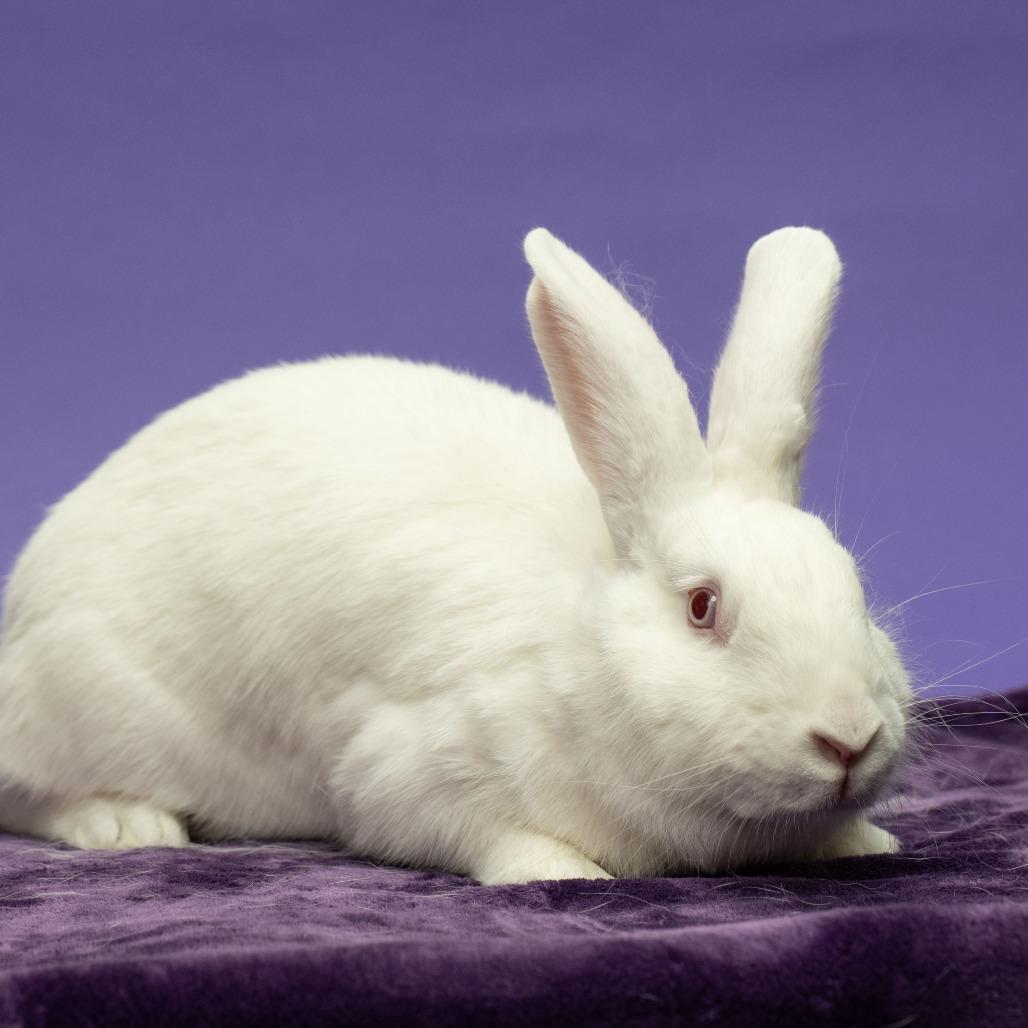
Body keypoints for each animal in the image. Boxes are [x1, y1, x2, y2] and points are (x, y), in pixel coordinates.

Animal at [0, 226, 911, 884]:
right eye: (702, 606)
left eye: (855, 588)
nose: (848, 738)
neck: (580, 650)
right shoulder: (408, 771)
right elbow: (480, 831)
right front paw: (565, 872)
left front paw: (868, 843)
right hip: (78, 699)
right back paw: (125, 822)